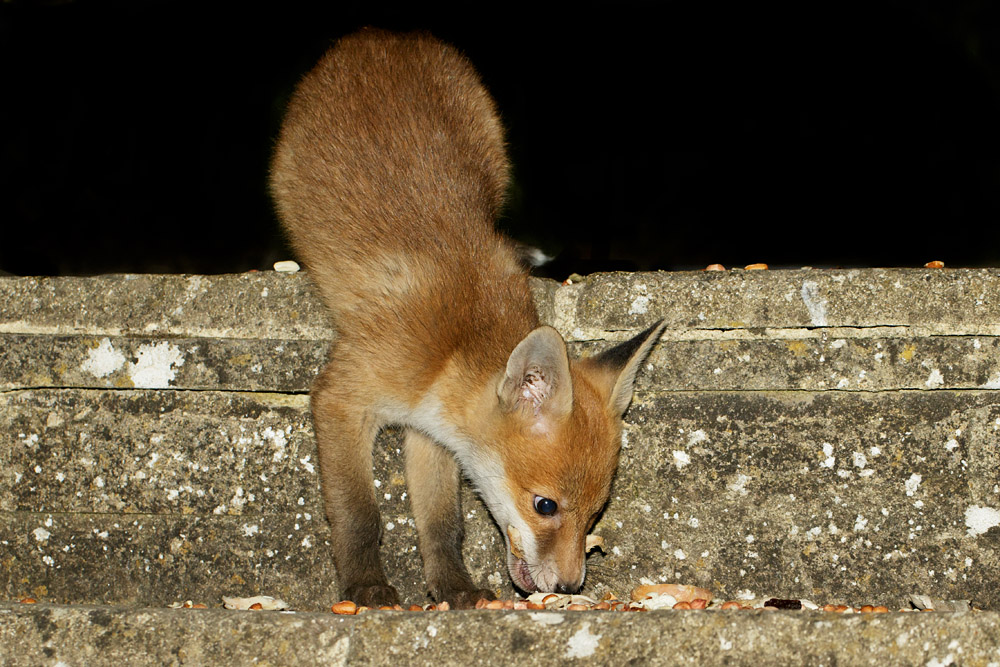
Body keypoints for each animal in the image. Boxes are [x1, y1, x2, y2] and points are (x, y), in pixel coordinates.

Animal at [269, 28, 665, 609]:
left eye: (595, 513)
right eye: (546, 505)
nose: (570, 586)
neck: (452, 350)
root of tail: (388, 34)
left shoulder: (430, 435)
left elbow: (443, 524)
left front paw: (453, 587)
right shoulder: (345, 398)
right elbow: (359, 514)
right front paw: (365, 585)